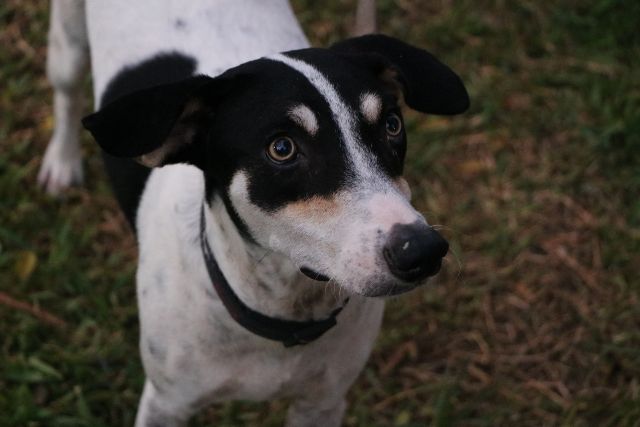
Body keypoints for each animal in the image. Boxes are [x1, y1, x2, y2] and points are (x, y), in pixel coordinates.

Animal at [41, 1, 470, 426]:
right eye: (282, 148)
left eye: (392, 125)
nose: (423, 251)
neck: (282, 312)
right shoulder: (166, 405)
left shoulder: (322, 403)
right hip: (68, 42)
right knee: (66, 93)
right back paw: (61, 162)